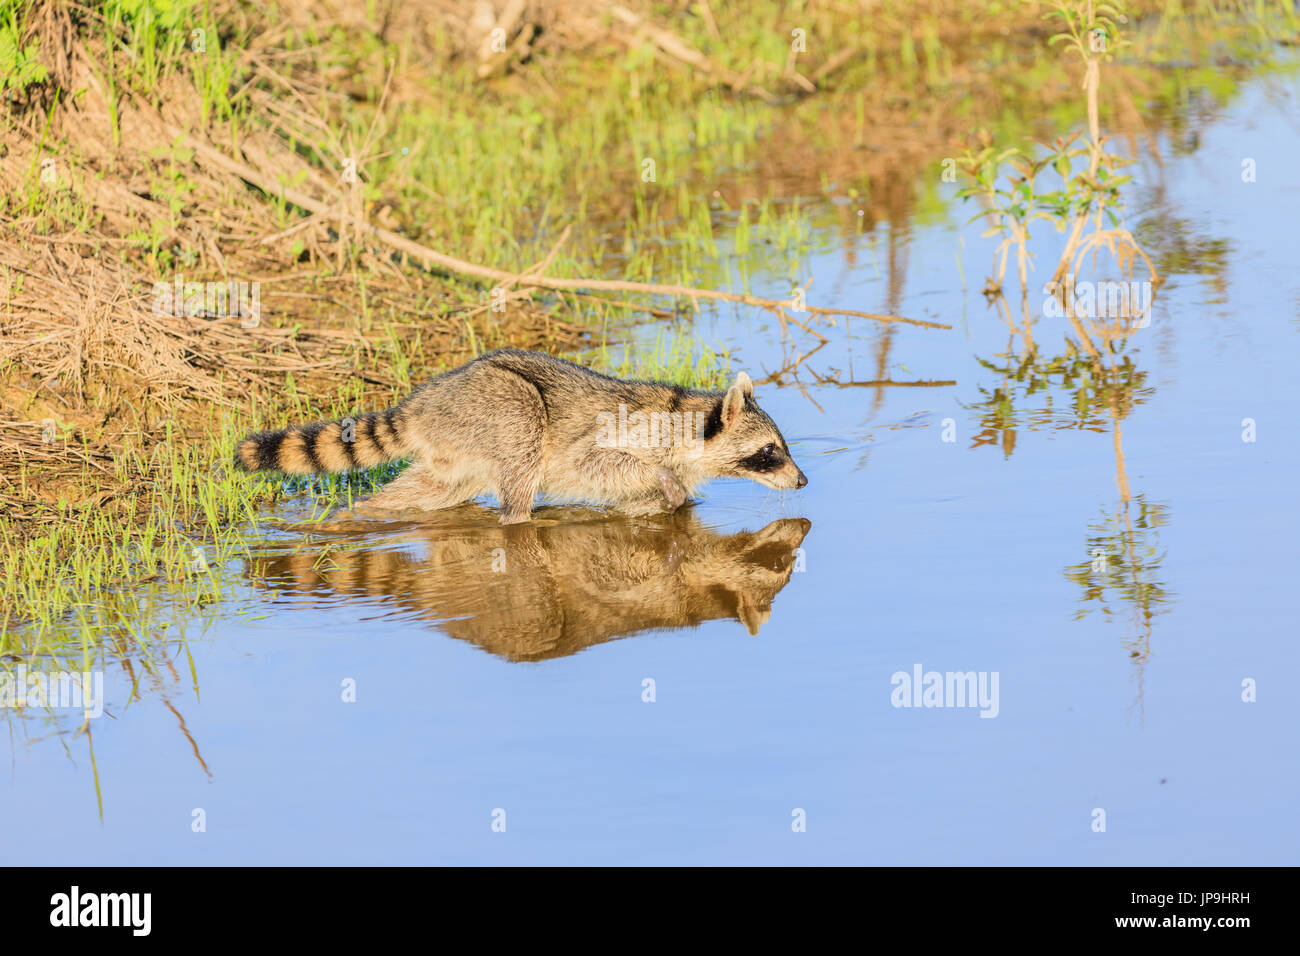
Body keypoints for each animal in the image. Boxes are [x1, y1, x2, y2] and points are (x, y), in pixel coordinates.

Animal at [234, 348, 807, 523]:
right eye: (769, 452)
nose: (802, 482)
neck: (688, 418)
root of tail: (423, 403)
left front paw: (665, 500)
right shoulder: (627, 433)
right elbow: (596, 461)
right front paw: (662, 483)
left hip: (456, 451)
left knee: (429, 490)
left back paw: (362, 513)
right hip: (500, 409)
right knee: (523, 448)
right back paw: (518, 517)